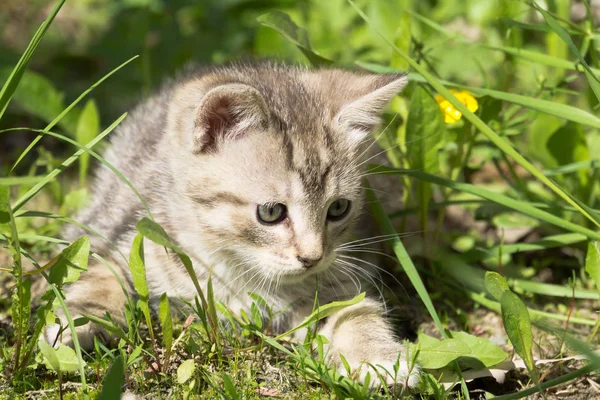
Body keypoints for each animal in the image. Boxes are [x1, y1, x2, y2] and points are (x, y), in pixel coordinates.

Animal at [44, 62, 420, 388]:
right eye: (271, 212)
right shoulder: (129, 242)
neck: (241, 269)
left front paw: (378, 356)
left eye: (339, 208)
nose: (312, 258)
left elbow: (355, 312)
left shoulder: (338, 282)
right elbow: (102, 278)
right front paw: (76, 321)